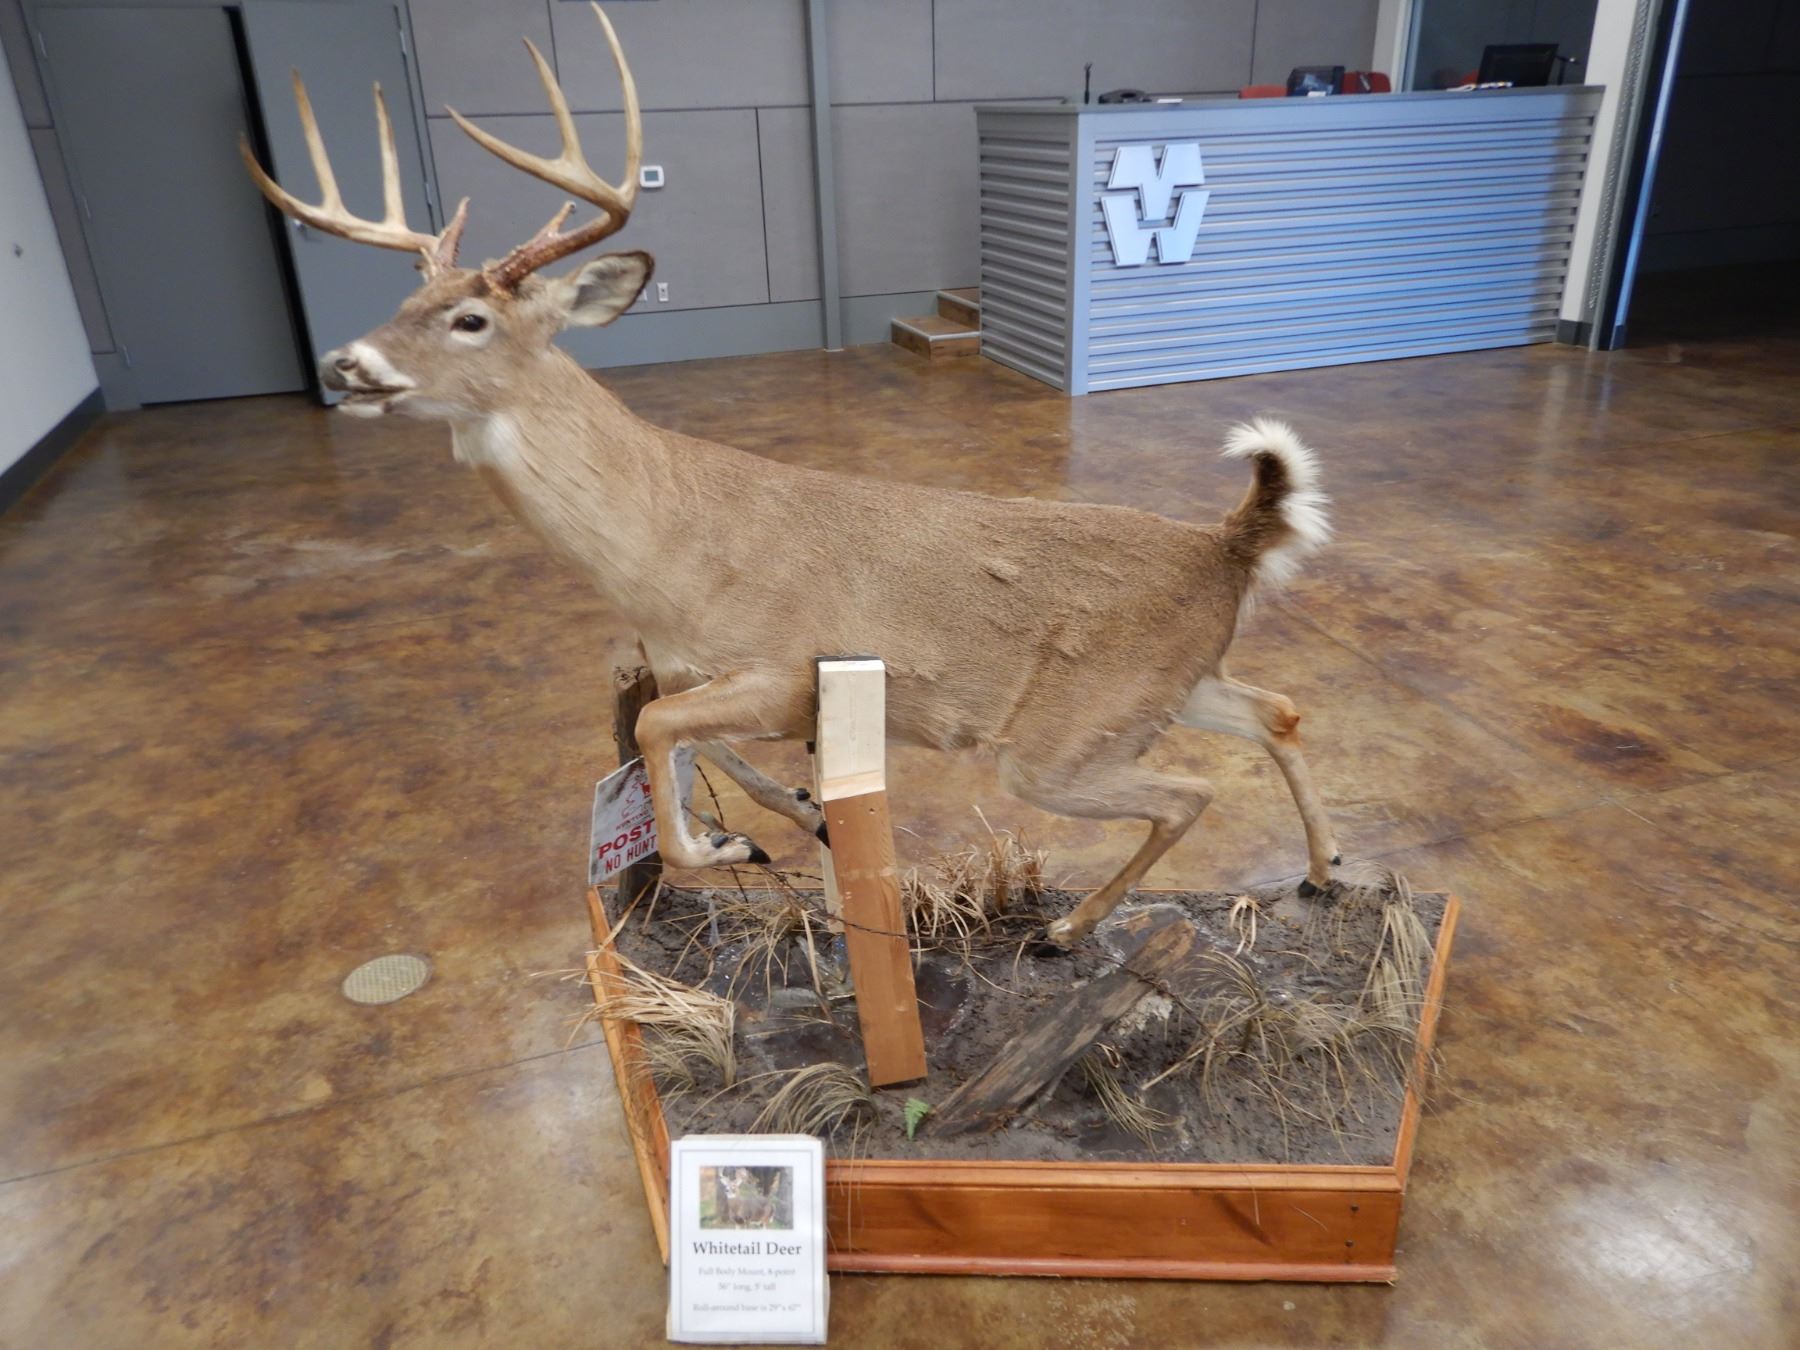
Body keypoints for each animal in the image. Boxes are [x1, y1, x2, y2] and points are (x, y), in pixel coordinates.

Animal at [240, 3, 1341, 949]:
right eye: (403, 301)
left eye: (469, 318)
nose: (346, 365)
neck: (668, 553)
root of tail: (1226, 546)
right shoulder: (705, 673)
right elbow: (692, 744)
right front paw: (787, 821)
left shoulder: (780, 664)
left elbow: (657, 728)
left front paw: (723, 845)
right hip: (1164, 690)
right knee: (1279, 710)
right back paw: (1324, 871)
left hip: (1063, 740)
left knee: (1192, 793)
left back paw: (1071, 928)